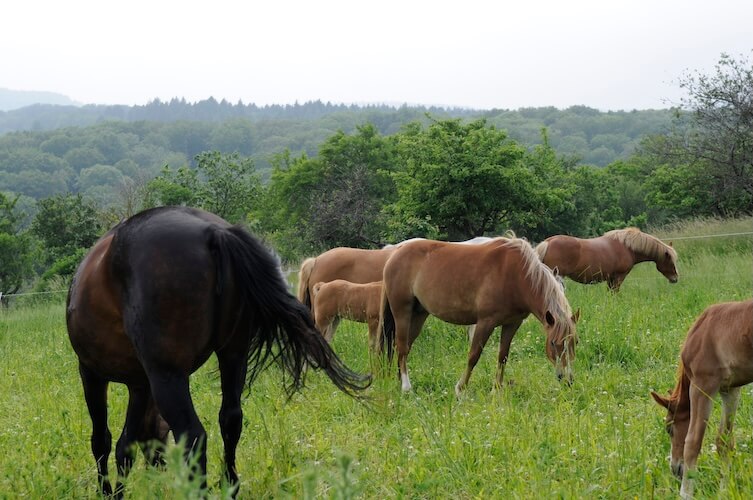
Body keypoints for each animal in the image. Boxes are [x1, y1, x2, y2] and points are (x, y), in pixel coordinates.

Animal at [66, 206, 370, 497]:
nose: (161, 474)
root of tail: (214, 232)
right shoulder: (140, 385)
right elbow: (128, 443)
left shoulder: (92, 374)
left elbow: (103, 440)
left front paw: (107, 491)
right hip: (232, 357)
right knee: (231, 420)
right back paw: (229, 484)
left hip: (168, 377)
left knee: (194, 436)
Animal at [379, 237, 579, 394]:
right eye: (553, 343)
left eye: (574, 342)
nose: (567, 379)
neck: (516, 275)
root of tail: (395, 252)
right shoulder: (485, 322)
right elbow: (473, 355)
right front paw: (460, 389)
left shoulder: (512, 324)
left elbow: (502, 356)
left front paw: (496, 389)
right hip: (402, 311)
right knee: (401, 346)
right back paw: (406, 387)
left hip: (419, 314)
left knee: (404, 347)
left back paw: (399, 381)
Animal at [534, 227, 678, 291]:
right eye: (671, 261)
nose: (675, 279)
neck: (627, 247)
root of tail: (548, 242)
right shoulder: (619, 276)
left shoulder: (611, 278)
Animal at [651, 298, 753, 499]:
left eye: (669, 428)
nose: (675, 469)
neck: (702, 331)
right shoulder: (730, 389)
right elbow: (724, 441)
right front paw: (724, 490)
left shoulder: (702, 385)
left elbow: (692, 442)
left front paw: (685, 493)